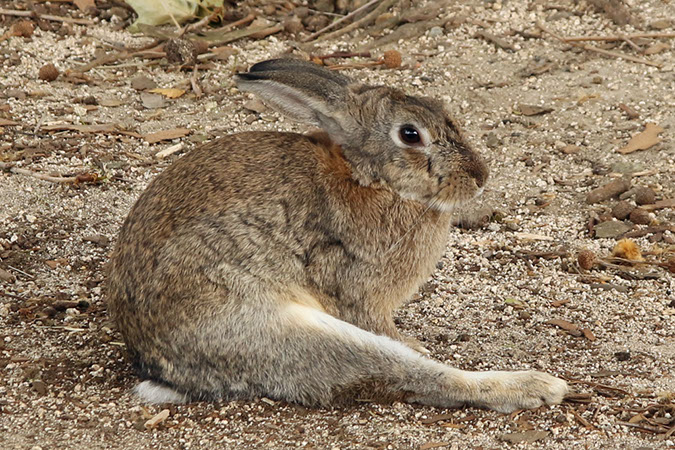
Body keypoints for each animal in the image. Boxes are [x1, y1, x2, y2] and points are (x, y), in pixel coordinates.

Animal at [107, 58, 568, 412]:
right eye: (411, 134)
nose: (479, 176)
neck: (370, 179)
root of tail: (160, 366)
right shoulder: (358, 293)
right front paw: (414, 343)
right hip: (283, 331)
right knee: (407, 374)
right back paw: (537, 386)